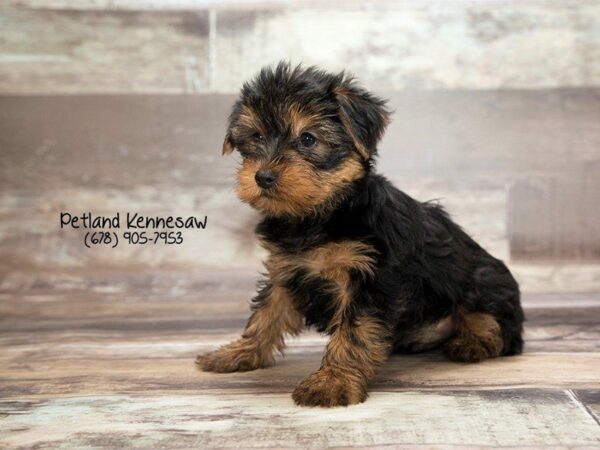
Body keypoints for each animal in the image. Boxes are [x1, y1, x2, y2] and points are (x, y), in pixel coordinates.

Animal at [196, 63, 520, 408]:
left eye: (308, 139)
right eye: (256, 136)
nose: (263, 176)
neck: (321, 213)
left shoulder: (369, 279)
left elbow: (353, 332)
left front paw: (332, 382)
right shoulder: (287, 270)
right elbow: (266, 313)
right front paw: (238, 352)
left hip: (483, 279)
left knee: (494, 322)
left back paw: (472, 341)